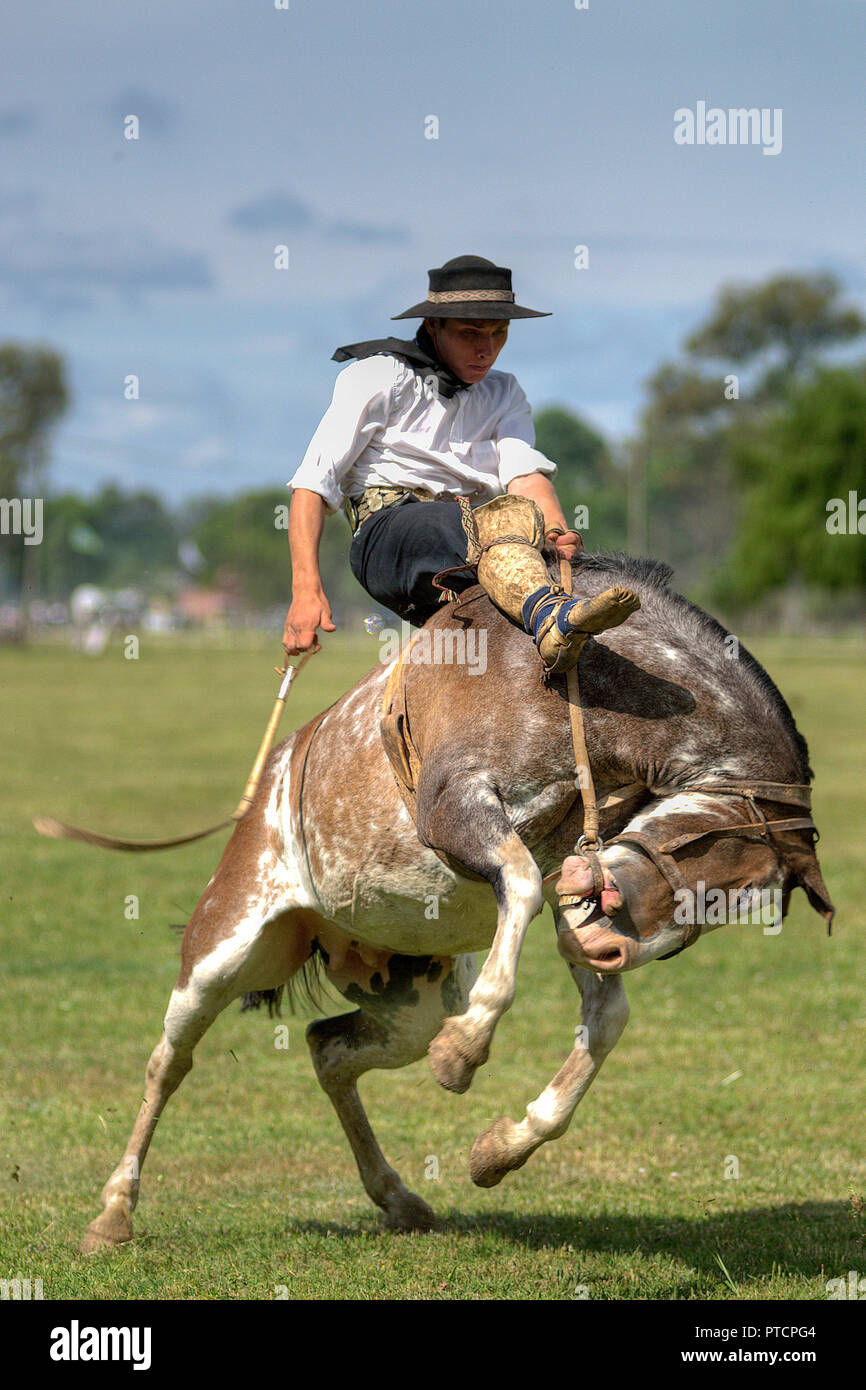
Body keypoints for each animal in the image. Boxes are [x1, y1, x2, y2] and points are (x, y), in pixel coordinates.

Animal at [79, 547, 834, 1245]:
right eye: (705, 852)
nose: (608, 949)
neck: (587, 685)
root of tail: (273, 775)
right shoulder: (458, 809)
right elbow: (520, 891)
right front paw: (466, 1051)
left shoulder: (575, 879)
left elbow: (605, 1015)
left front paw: (501, 1149)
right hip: (225, 949)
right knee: (169, 1063)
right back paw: (114, 1213)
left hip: (408, 995)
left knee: (329, 1049)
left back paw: (398, 1198)